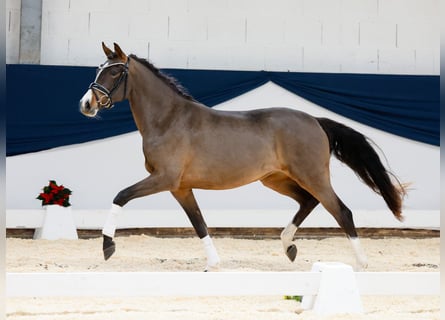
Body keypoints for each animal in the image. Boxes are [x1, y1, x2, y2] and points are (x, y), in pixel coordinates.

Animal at [78, 41, 404, 268]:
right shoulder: (180, 187)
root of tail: (314, 120)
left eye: (115, 71)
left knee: (341, 211)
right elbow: (199, 222)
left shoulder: (164, 179)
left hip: (312, 176)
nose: (86, 104)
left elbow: (120, 196)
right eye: (98, 69)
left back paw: (362, 263)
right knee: (308, 202)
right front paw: (213, 263)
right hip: (275, 179)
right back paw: (288, 247)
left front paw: (108, 247)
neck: (169, 119)